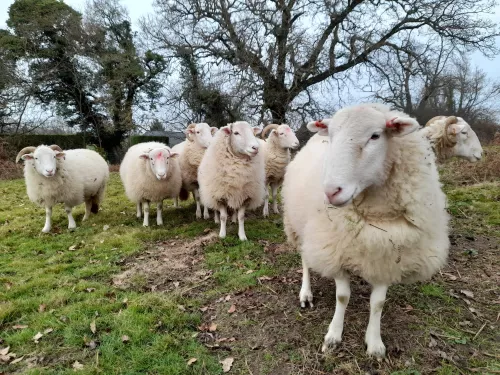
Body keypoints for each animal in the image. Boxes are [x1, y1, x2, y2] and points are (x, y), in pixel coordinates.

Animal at [284, 103, 452, 358]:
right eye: (331, 136)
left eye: (375, 136)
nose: (331, 191)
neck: (376, 216)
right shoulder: (335, 249)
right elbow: (342, 296)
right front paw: (333, 335)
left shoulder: (389, 252)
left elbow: (378, 303)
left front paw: (374, 343)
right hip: (298, 225)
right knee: (304, 258)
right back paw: (306, 293)